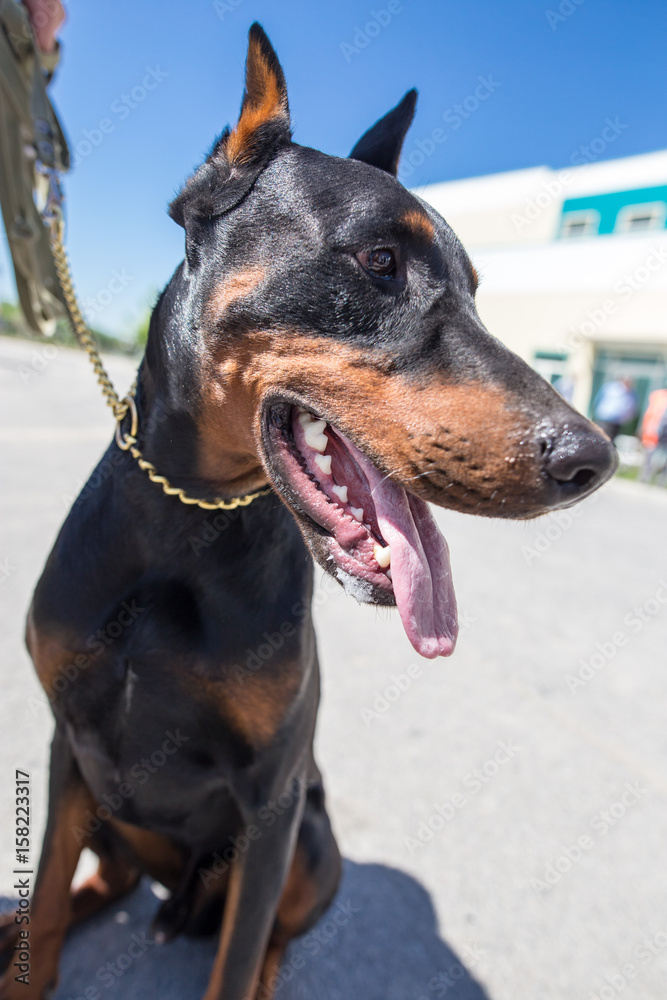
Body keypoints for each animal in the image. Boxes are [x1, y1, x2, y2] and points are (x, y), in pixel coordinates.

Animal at [0, 21, 620, 1000]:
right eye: (378, 261)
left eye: (476, 288)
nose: (592, 458)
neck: (187, 528)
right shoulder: (68, 747)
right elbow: (52, 896)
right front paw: (27, 951)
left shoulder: (274, 799)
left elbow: (240, 951)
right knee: (104, 884)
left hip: (313, 843)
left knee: (264, 938)